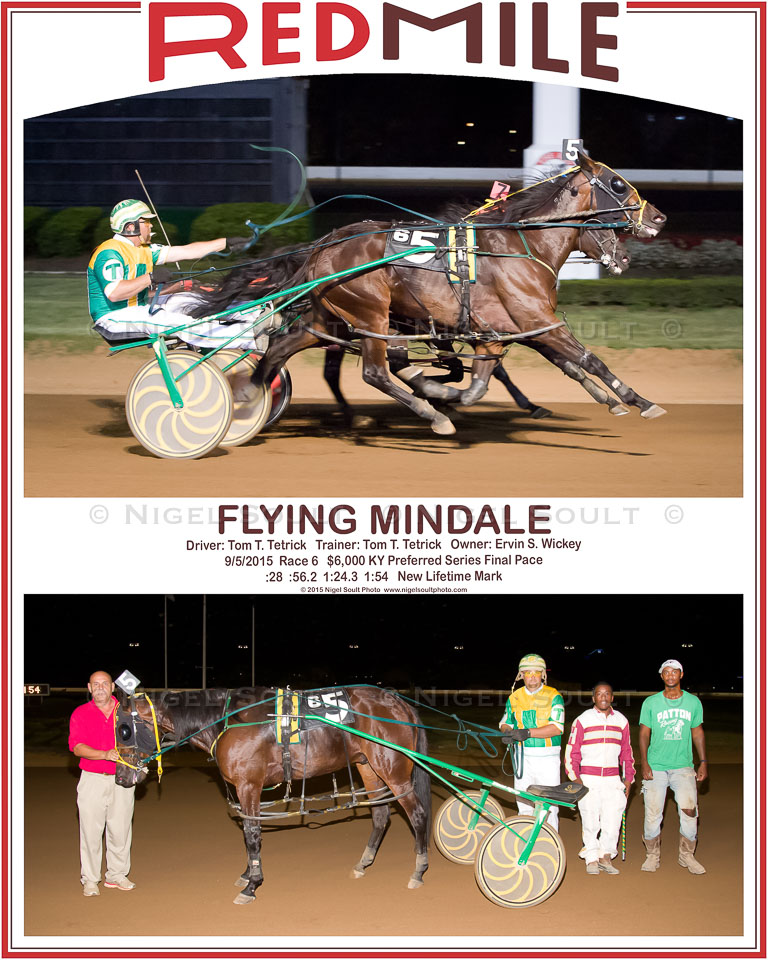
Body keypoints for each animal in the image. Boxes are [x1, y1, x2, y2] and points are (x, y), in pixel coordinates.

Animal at [122, 687, 433, 905]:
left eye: (123, 730)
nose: (121, 777)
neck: (227, 720)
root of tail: (400, 703)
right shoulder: (248, 788)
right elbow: (249, 832)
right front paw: (248, 874)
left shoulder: (249, 784)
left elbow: (251, 834)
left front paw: (252, 884)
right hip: (368, 766)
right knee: (380, 815)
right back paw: (363, 863)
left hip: (393, 771)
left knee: (417, 814)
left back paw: (418, 871)